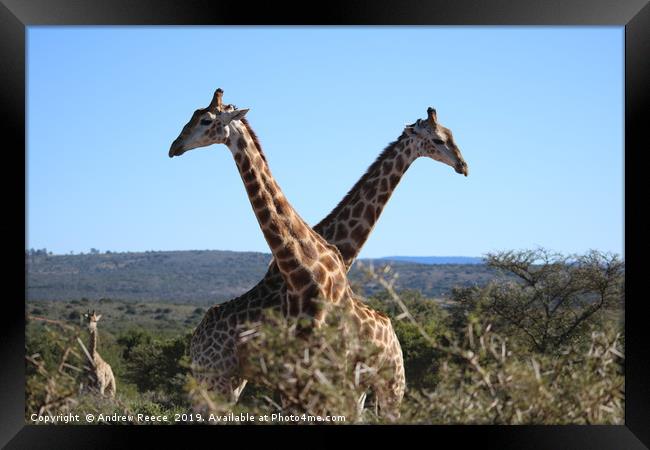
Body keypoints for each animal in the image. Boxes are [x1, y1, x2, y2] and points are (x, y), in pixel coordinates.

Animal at [170, 88, 468, 418]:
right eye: (439, 140)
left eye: (205, 120)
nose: (463, 165)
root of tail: (194, 341)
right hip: (218, 379)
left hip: (384, 384)